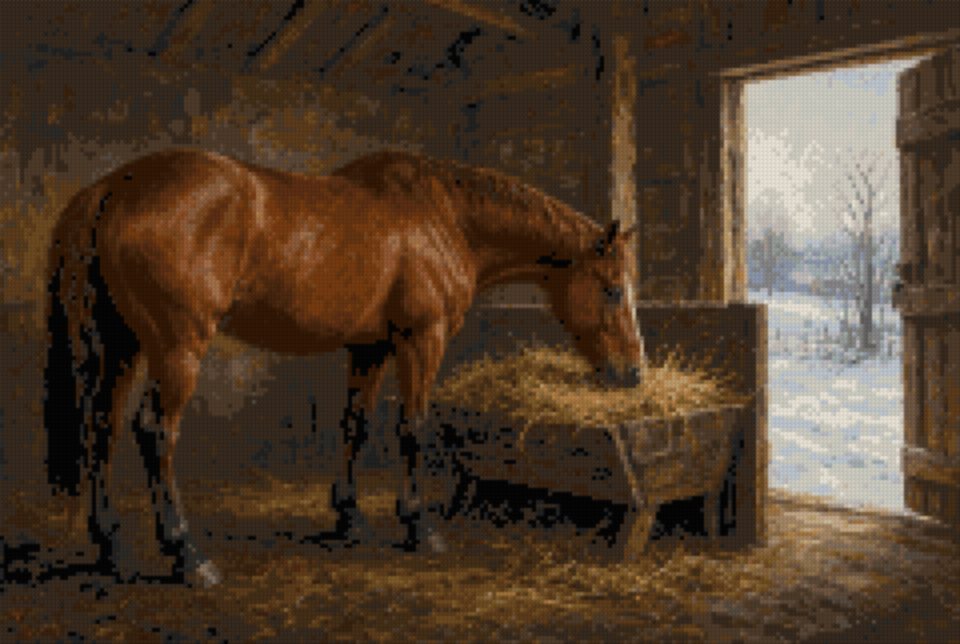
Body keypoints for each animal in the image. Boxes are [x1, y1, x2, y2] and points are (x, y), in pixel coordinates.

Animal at [43, 148, 644, 587]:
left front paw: (350, 517)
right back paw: (188, 554)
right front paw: (419, 526)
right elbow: (412, 428)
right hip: (176, 350)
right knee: (155, 433)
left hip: (120, 347)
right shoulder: (421, 341)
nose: (633, 374)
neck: (445, 216)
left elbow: (355, 425)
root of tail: (114, 186)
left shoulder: (369, 348)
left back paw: (113, 546)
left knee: (102, 430)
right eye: (613, 290)